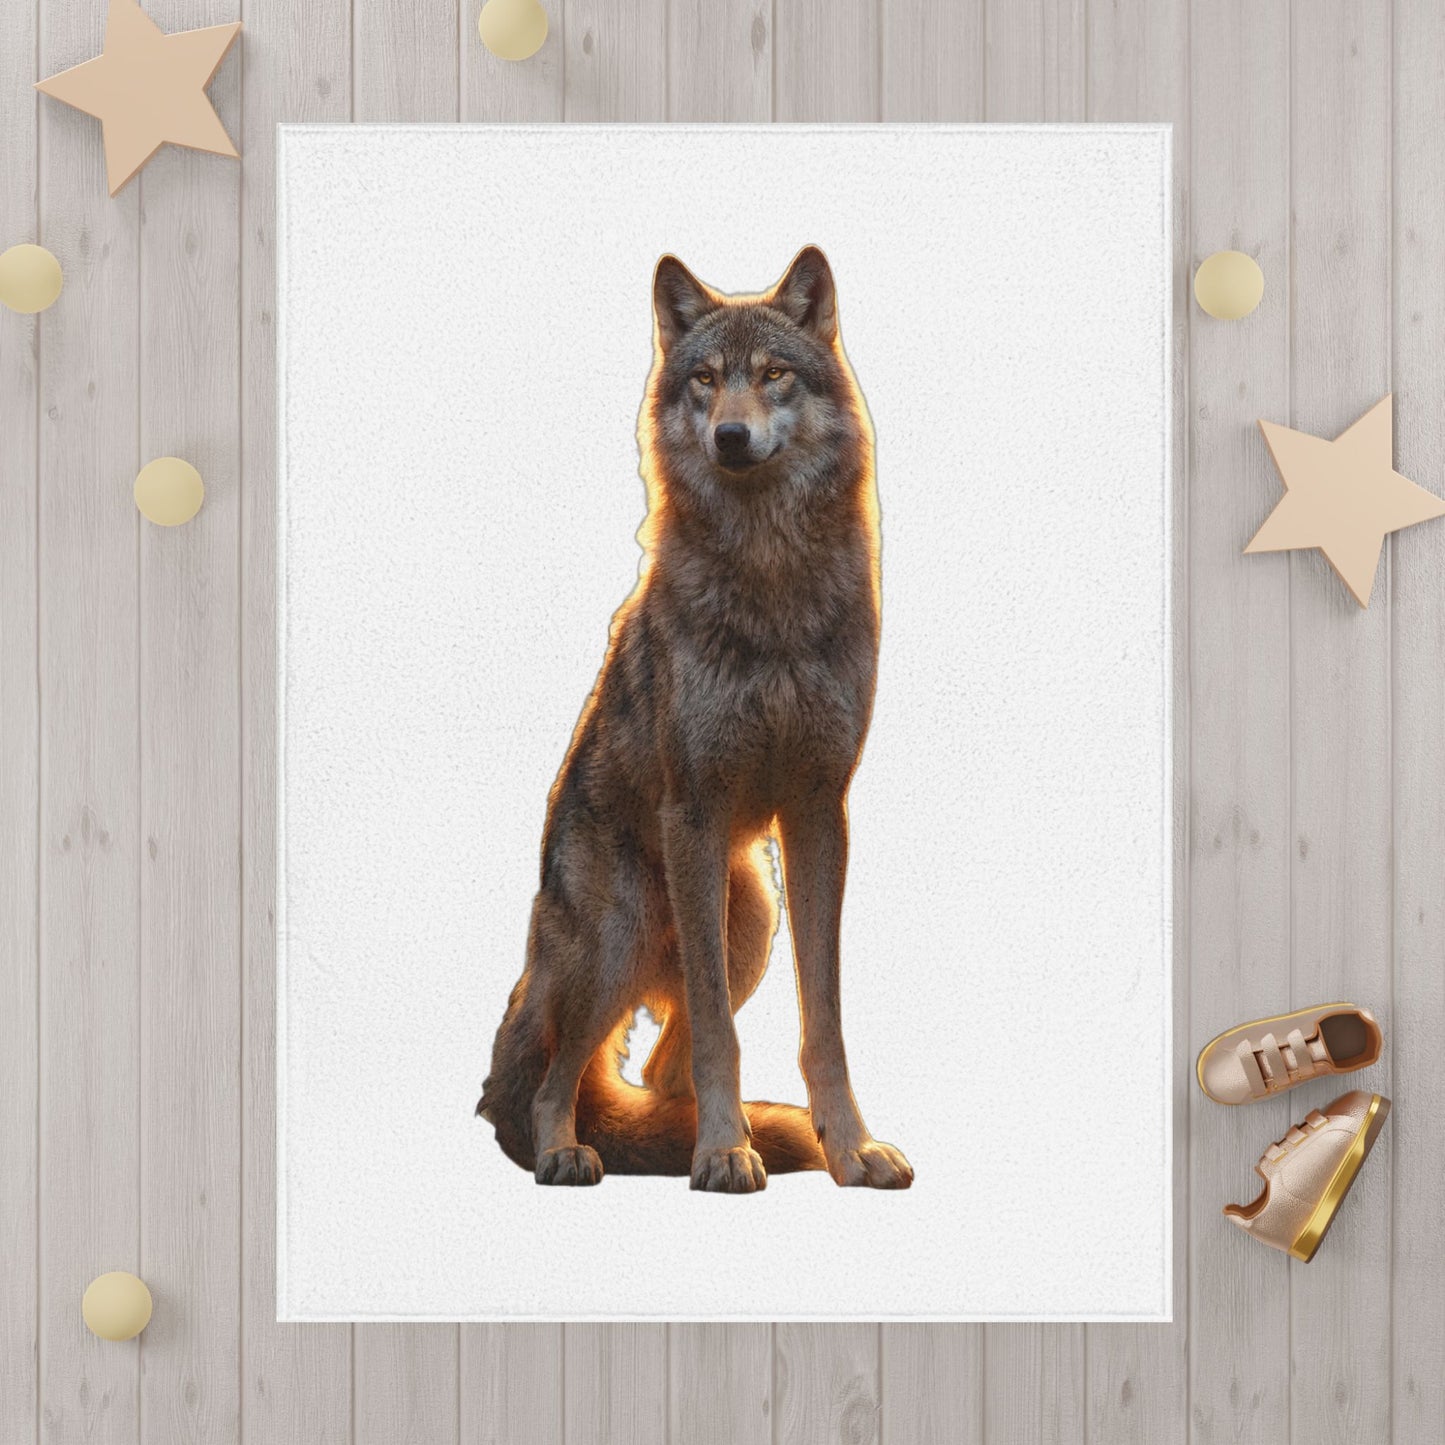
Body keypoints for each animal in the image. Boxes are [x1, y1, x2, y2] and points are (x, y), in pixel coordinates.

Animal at [477, 246, 912, 1193]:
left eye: (774, 374)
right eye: (705, 379)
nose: (730, 438)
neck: (770, 575)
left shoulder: (819, 808)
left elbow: (822, 1022)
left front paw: (849, 1149)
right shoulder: (696, 809)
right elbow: (718, 1031)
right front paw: (720, 1152)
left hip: (747, 917)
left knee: (655, 1067)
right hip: (623, 933)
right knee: (556, 1075)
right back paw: (571, 1151)